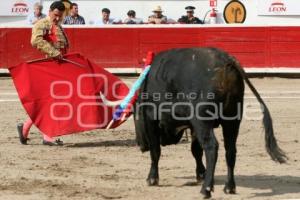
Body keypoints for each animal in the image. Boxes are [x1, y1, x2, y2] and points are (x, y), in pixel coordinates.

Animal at [132, 47, 288, 198]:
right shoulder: (193, 126)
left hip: (203, 120)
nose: (140, 146)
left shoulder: (152, 119)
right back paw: (229, 187)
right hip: (232, 119)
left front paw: (152, 178)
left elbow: (156, 150)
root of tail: (226, 60)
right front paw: (201, 173)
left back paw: (206, 189)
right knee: (230, 149)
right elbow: (196, 150)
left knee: (212, 147)